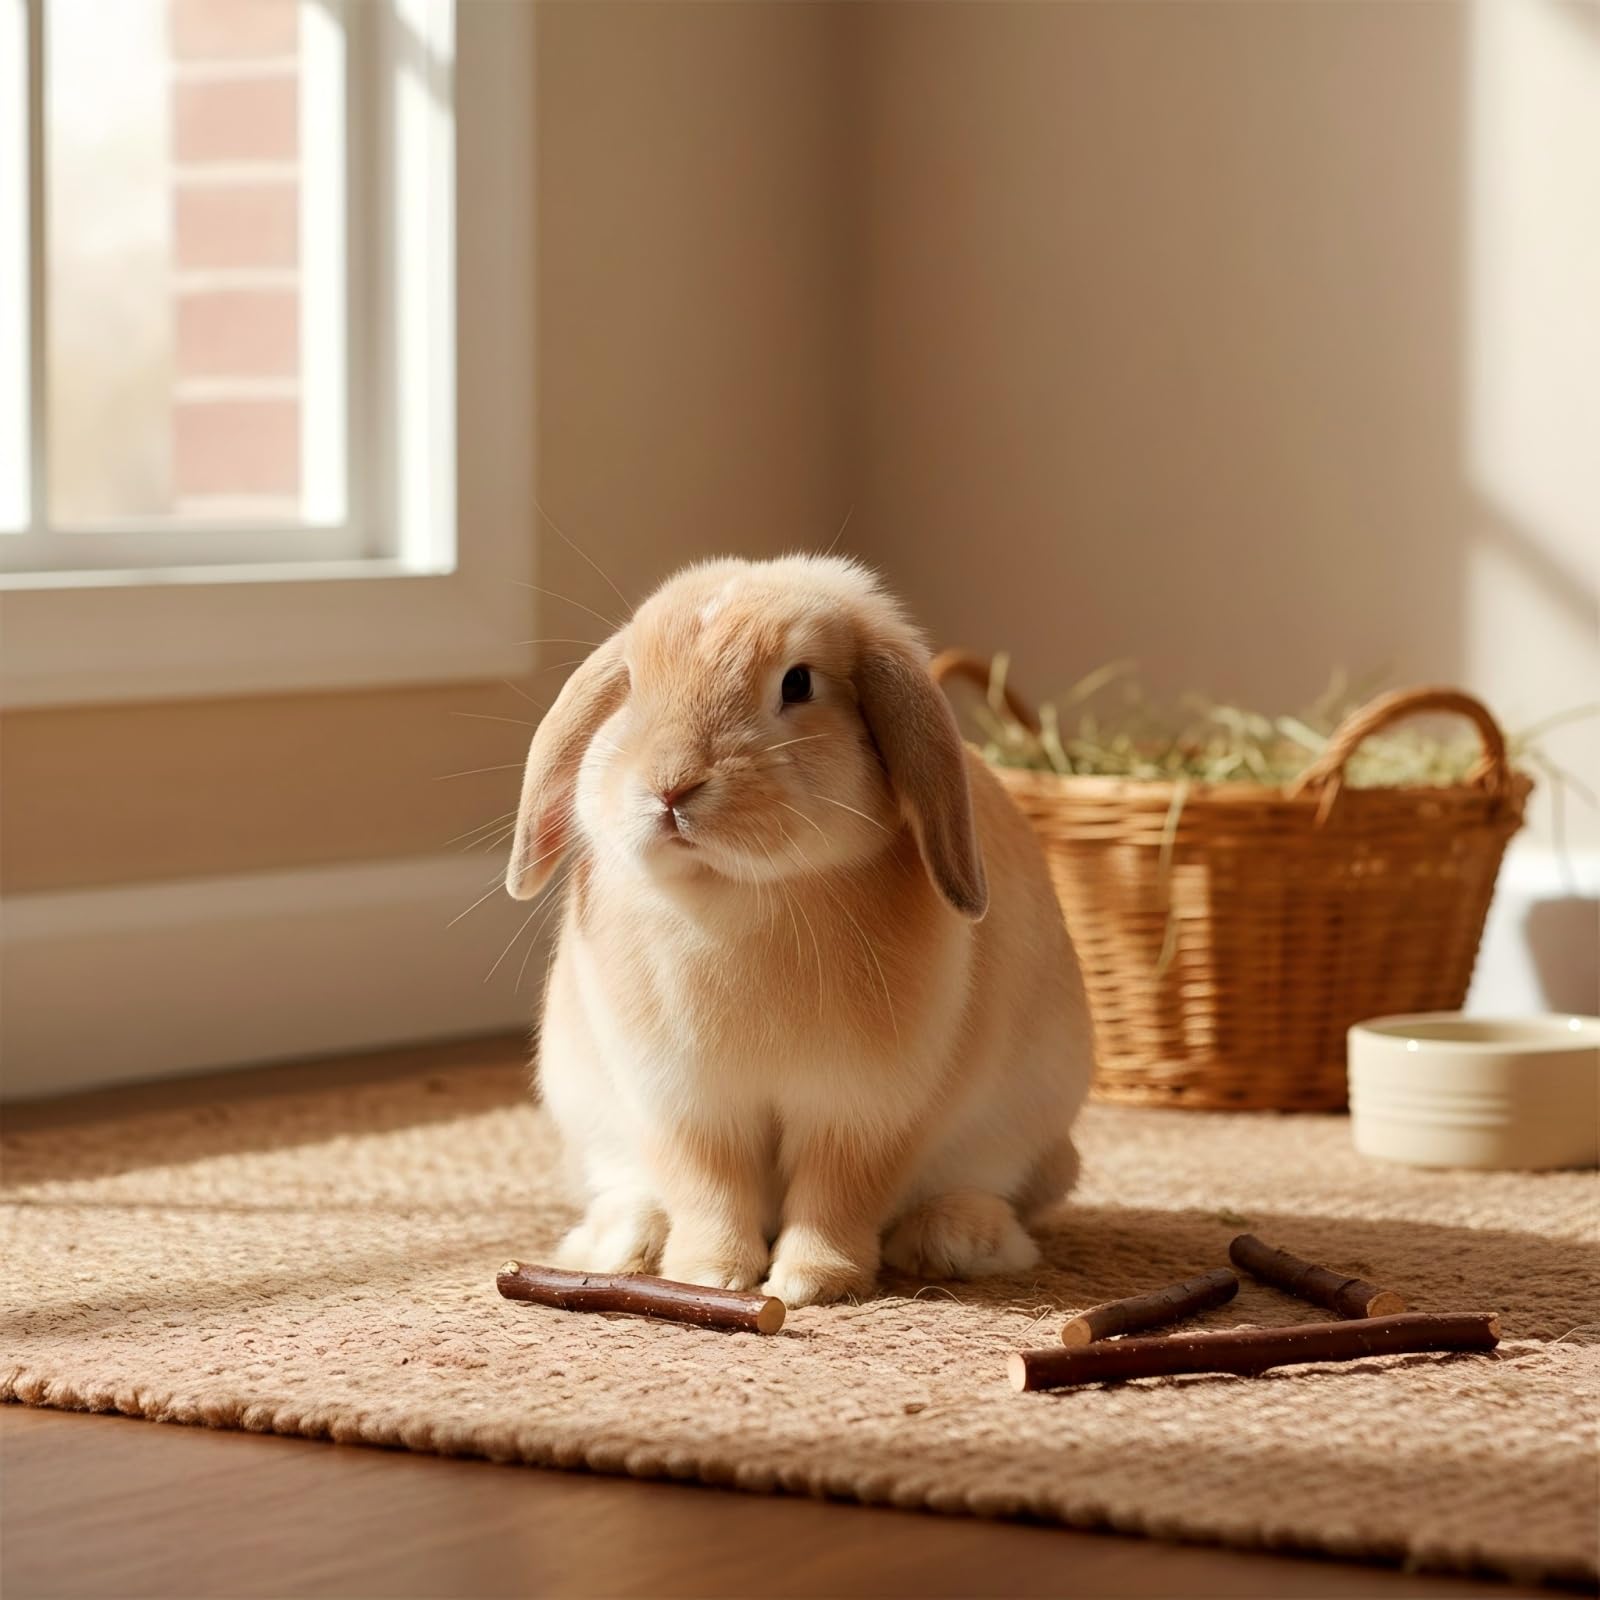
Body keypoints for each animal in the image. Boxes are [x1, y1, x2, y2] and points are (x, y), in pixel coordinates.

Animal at [505, 554, 1092, 1307]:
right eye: (631, 684)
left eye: (798, 683)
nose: (670, 786)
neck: (733, 896)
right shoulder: (688, 1108)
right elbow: (711, 1192)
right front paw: (709, 1274)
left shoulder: (864, 1113)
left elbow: (835, 1197)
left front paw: (810, 1284)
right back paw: (622, 1244)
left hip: (1028, 1133)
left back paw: (957, 1240)